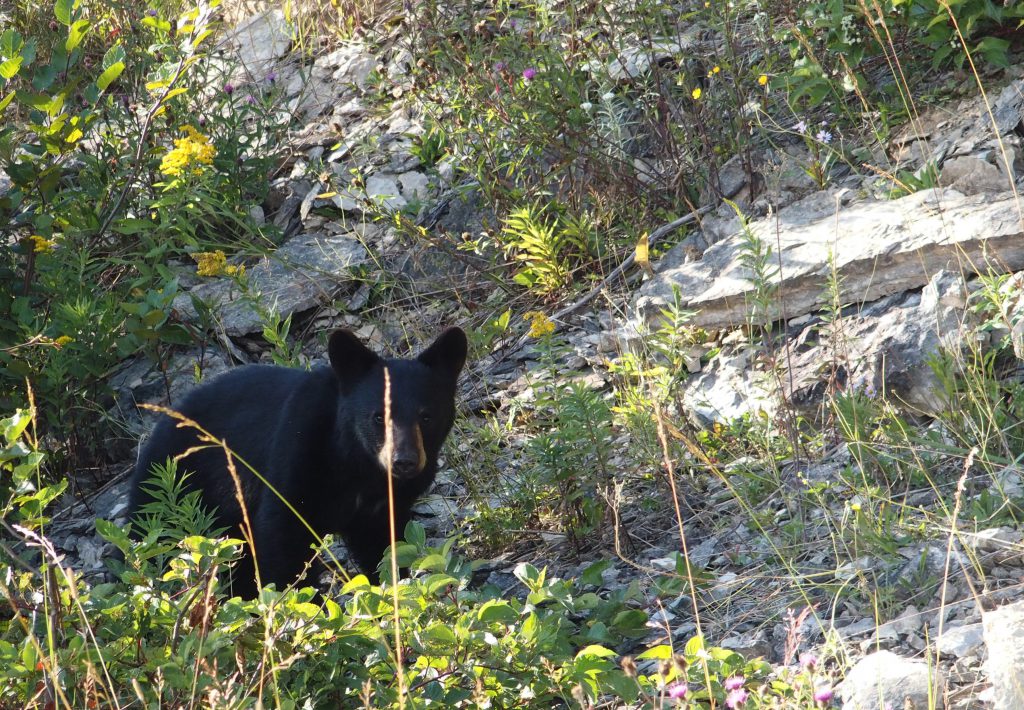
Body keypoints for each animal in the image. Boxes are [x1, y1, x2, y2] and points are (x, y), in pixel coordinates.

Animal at [125, 327, 468, 598]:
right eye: (378, 416)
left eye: (426, 416)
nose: (404, 461)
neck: (357, 466)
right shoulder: (297, 454)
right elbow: (282, 537)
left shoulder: (384, 504)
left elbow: (384, 546)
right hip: (173, 492)